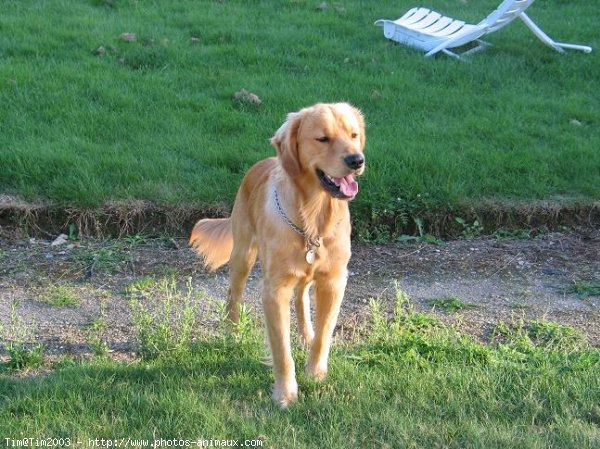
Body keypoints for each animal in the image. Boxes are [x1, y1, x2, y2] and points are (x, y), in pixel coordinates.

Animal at [190, 102, 366, 406]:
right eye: (323, 138)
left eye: (354, 135)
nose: (357, 160)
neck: (313, 218)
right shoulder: (274, 290)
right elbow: (282, 351)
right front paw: (286, 393)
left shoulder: (334, 281)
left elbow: (324, 334)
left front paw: (315, 372)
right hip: (243, 254)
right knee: (233, 294)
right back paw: (232, 333)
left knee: (302, 297)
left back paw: (306, 334)